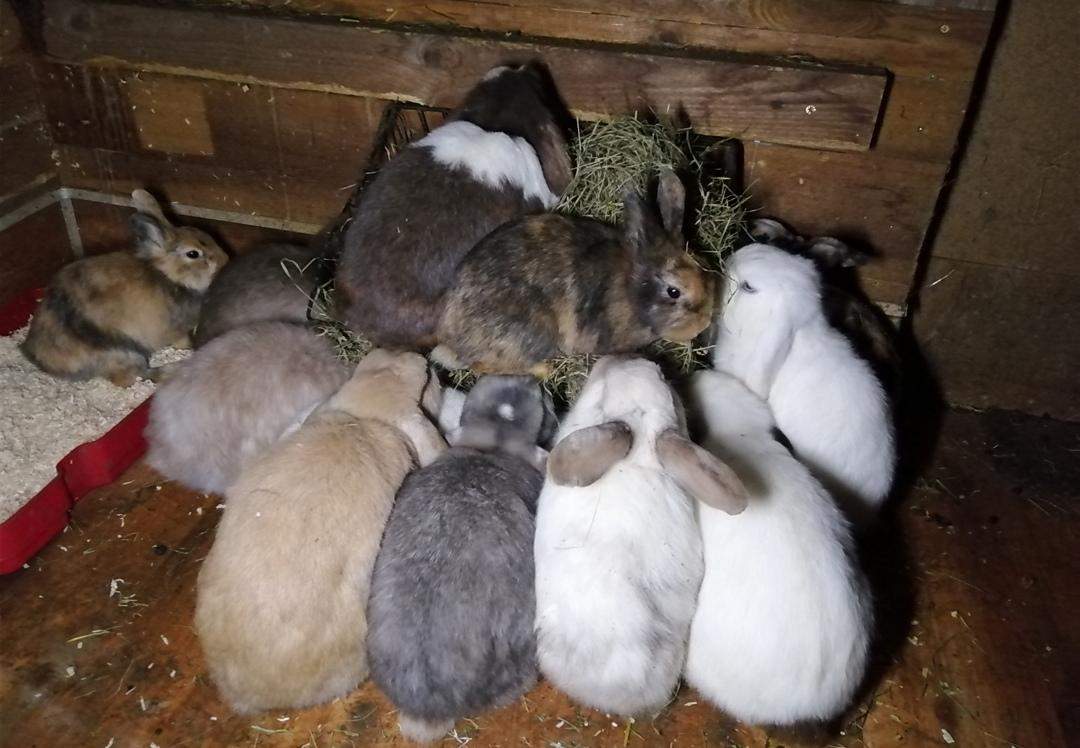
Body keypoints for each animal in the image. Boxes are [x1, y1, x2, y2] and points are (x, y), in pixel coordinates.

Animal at [20, 189, 228, 386]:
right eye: (193, 254)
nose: (225, 261)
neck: (168, 276)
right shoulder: (175, 329)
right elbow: (181, 341)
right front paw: (188, 348)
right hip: (125, 353)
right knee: (130, 378)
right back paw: (171, 370)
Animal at [435, 170, 715, 376]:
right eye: (674, 291)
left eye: (705, 272)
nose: (703, 323)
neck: (630, 290)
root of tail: (454, 341)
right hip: (532, 333)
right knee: (484, 365)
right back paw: (544, 370)